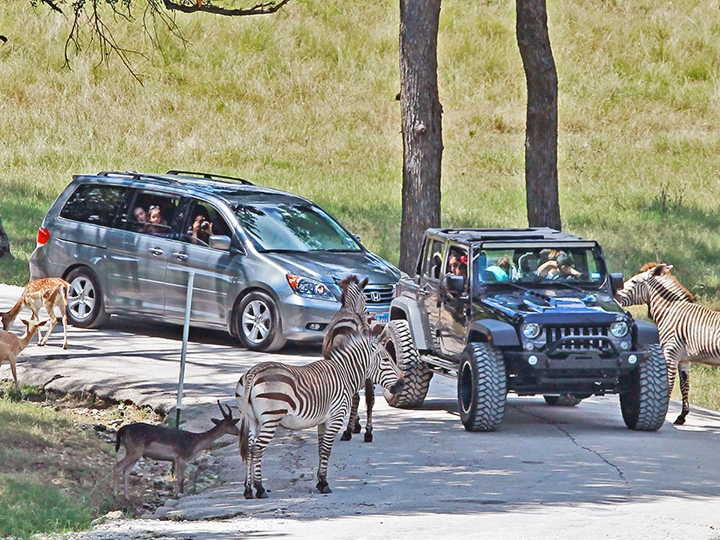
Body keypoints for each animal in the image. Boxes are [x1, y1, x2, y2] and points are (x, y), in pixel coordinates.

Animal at [236, 330, 404, 498]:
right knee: (257, 449)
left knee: (249, 449)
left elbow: (320, 449)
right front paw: (323, 483)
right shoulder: (335, 418)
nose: (402, 383)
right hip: (270, 419)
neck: (345, 374)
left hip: (252, 419)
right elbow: (326, 451)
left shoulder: (322, 422)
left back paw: (248, 489)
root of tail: (253, 373)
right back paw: (260, 488)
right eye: (386, 360)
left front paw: (319, 480)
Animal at [322, 276, 380, 440]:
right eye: (366, 298)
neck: (349, 308)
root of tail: (362, 323)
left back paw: (347, 431)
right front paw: (358, 424)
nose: (369, 311)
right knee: (370, 398)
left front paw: (354, 424)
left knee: (356, 398)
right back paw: (368, 431)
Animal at [612, 262, 720, 426]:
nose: (614, 295)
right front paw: (682, 416)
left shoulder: (670, 353)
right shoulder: (683, 359)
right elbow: (684, 385)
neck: (669, 311)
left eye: (634, 282)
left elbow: (668, 384)